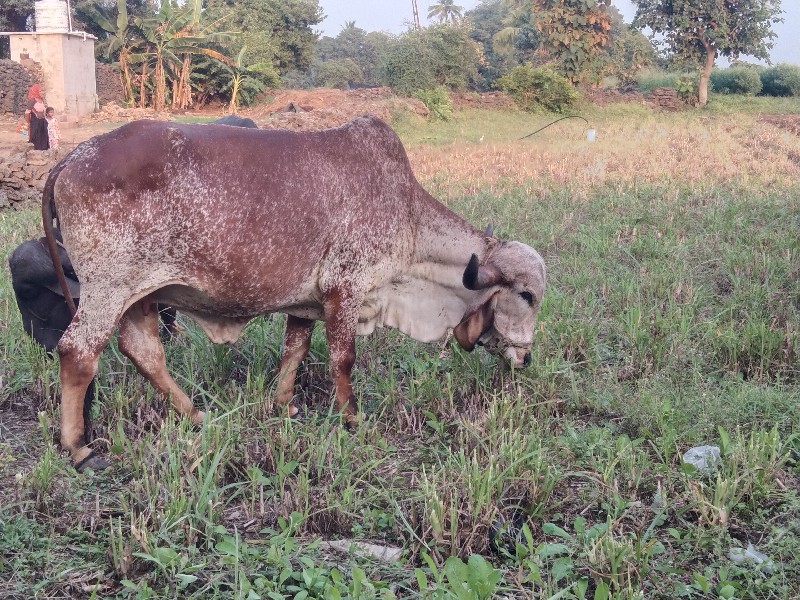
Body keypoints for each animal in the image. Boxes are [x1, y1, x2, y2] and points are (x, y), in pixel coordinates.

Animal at [42, 115, 544, 472]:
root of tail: (73, 156)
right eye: (527, 296)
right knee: (78, 351)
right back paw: (78, 447)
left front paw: (284, 404)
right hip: (109, 288)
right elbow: (343, 359)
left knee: (143, 351)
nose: (525, 357)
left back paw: (195, 415)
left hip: (140, 296)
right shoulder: (346, 287)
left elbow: (295, 350)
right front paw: (351, 418)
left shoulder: (308, 301)